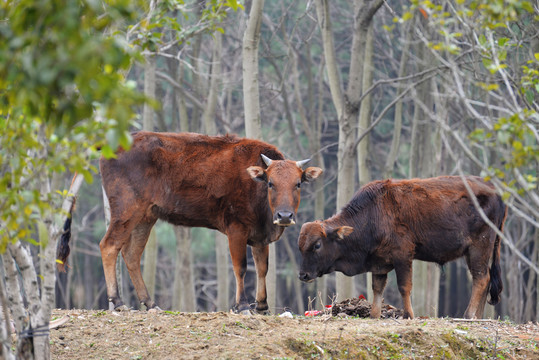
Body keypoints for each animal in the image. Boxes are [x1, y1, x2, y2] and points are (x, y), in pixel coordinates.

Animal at [58, 131, 320, 314]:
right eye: (271, 183)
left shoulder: (259, 236)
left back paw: (150, 303)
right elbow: (241, 267)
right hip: (126, 210)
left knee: (131, 254)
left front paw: (263, 306)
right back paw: (119, 302)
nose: (284, 216)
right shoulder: (236, 229)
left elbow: (262, 268)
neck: (254, 183)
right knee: (109, 246)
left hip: (146, 216)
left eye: (298, 183)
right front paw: (243, 306)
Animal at [300, 176, 506, 320]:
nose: (303, 275)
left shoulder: (403, 256)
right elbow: (377, 288)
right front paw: (374, 315)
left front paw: (408, 315)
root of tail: (496, 191)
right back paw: (477, 317)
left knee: (481, 278)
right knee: (485, 278)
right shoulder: (379, 262)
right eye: (300, 246)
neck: (374, 213)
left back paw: (468, 315)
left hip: (479, 247)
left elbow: (404, 286)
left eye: (317, 244)